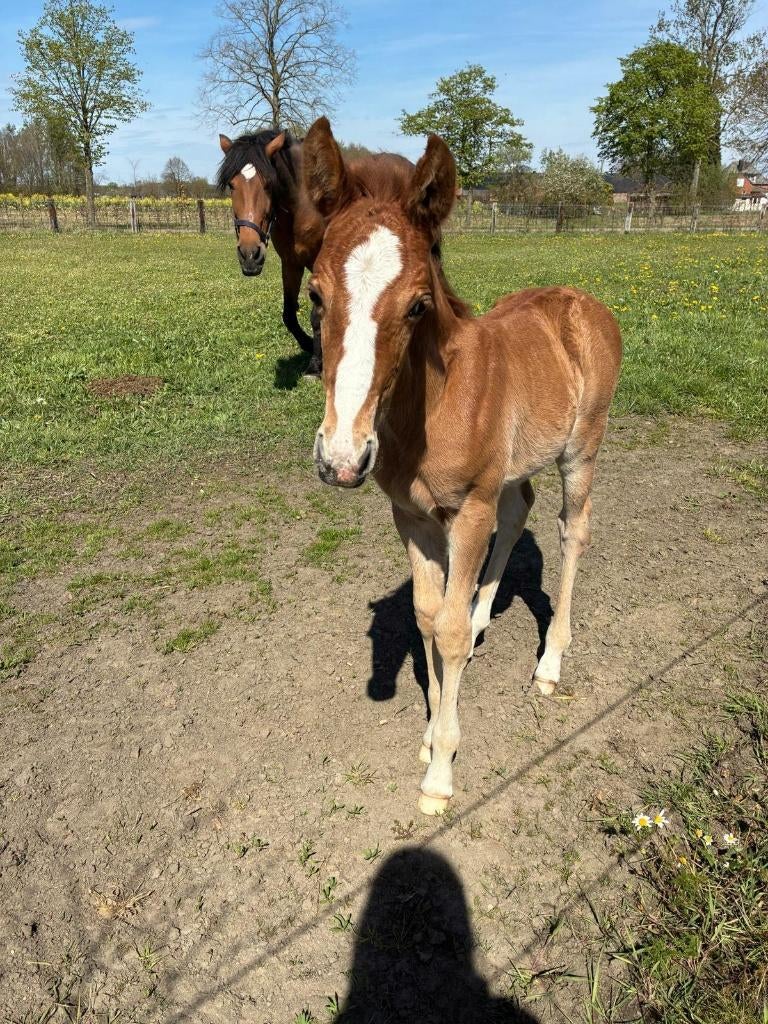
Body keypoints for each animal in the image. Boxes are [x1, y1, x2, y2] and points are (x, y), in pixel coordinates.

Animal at [217, 130, 416, 376]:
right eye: (232, 185)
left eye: (269, 184)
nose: (250, 255)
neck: (302, 206)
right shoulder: (291, 263)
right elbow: (289, 314)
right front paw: (307, 344)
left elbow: (315, 315)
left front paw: (314, 364)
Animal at [301, 117, 623, 815]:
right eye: (315, 294)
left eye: (419, 304)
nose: (342, 459)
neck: (435, 401)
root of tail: (585, 302)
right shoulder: (413, 516)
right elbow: (428, 616)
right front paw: (429, 731)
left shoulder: (467, 508)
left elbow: (443, 630)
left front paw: (441, 771)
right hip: (516, 465)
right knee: (519, 509)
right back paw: (481, 623)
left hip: (581, 450)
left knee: (572, 530)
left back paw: (550, 664)